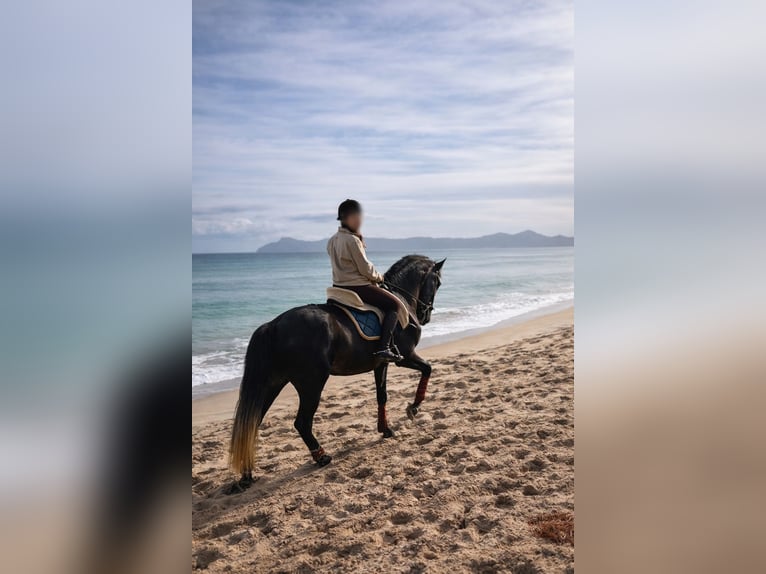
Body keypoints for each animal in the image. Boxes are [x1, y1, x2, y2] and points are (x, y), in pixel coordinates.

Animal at [228, 254, 445, 490]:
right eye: (438, 282)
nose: (425, 316)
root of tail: (273, 325)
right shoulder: (405, 356)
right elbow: (428, 368)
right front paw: (413, 407)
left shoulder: (381, 364)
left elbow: (382, 396)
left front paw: (385, 429)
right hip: (311, 383)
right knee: (301, 422)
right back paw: (321, 456)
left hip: (273, 383)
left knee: (252, 423)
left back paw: (246, 475)